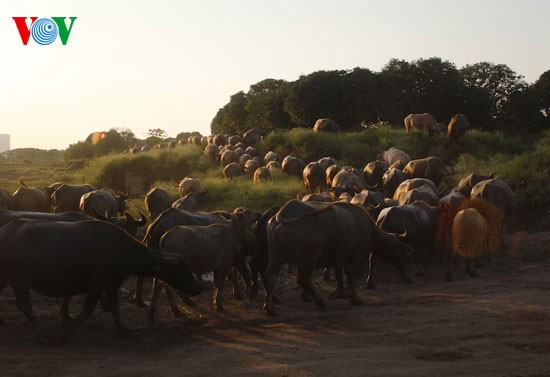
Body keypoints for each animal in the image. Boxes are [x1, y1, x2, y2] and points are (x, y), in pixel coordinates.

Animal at [0, 217, 202, 344]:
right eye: (181, 269)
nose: (197, 288)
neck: (119, 249)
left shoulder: (111, 286)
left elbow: (116, 309)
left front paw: (125, 331)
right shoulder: (96, 285)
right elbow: (87, 311)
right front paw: (63, 335)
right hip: (19, 281)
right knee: (25, 306)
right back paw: (45, 335)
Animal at [266, 200, 412, 314]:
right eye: (403, 253)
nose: (407, 276)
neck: (366, 227)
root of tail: (283, 213)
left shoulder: (343, 259)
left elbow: (345, 278)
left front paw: (355, 299)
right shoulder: (358, 256)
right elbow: (355, 279)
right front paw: (342, 295)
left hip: (276, 256)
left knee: (271, 278)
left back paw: (270, 308)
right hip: (308, 259)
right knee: (303, 280)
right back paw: (321, 302)